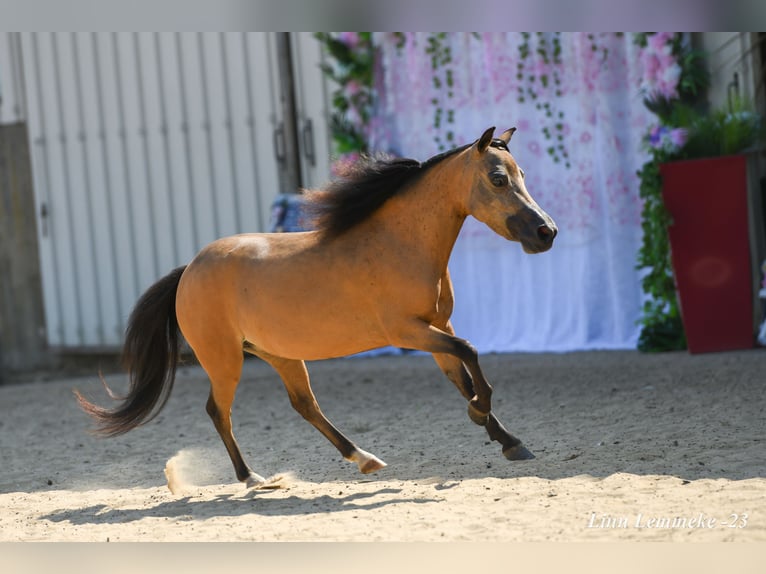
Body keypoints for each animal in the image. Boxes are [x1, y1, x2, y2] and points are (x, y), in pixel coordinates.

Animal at [76, 127, 560, 490]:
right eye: (498, 179)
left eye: (521, 174)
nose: (547, 232)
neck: (399, 244)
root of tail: (189, 270)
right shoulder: (408, 331)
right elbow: (472, 354)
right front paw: (482, 414)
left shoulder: (437, 328)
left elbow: (463, 375)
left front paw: (509, 440)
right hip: (225, 359)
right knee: (219, 411)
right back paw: (251, 478)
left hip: (280, 354)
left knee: (304, 405)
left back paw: (363, 458)